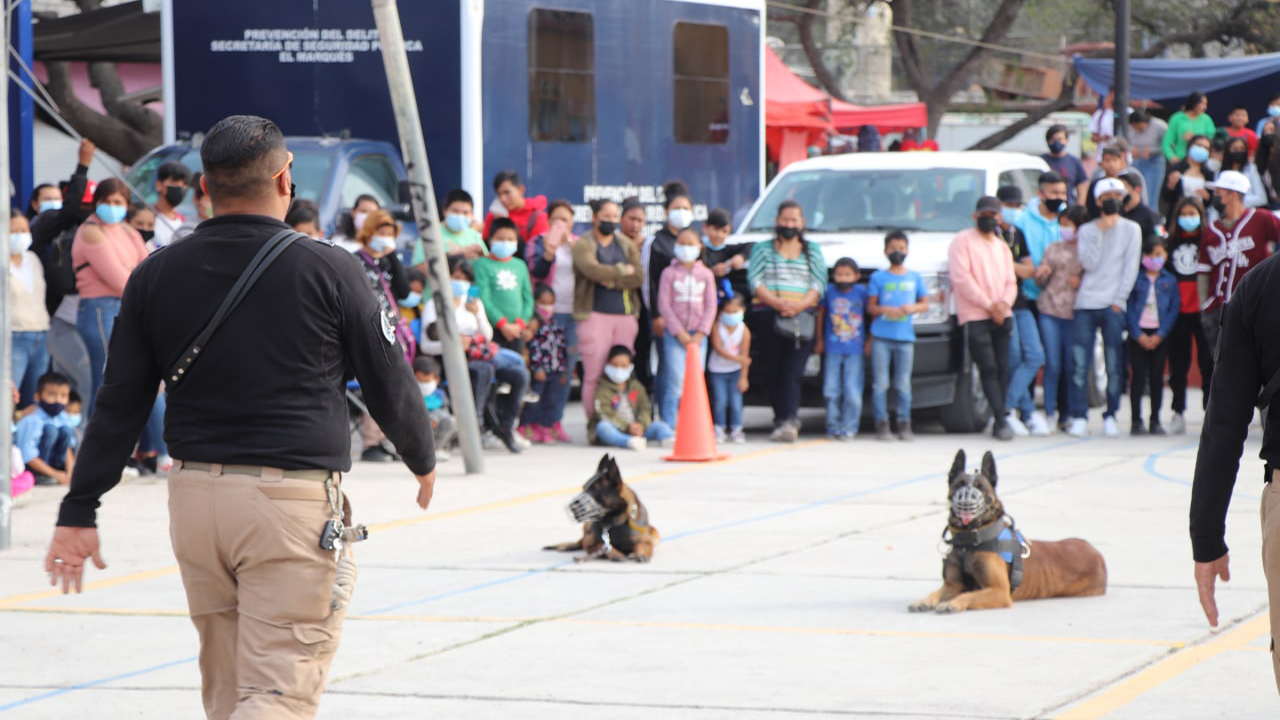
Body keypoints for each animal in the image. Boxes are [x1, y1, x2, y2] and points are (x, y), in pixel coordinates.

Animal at [906, 448, 1105, 609]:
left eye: (980, 487)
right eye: (959, 485)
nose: (966, 502)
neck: (970, 542)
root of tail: (1096, 552)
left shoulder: (999, 591)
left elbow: (968, 594)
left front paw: (953, 603)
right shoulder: (952, 585)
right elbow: (936, 592)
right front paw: (924, 601)